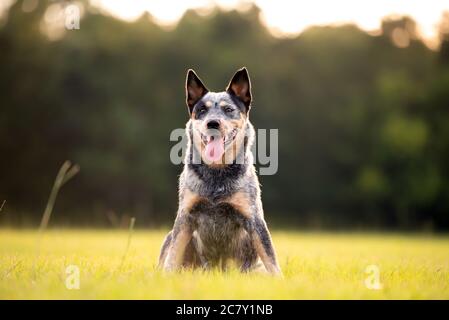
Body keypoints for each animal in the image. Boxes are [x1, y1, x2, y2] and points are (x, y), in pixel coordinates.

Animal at [158, 67, 280, 276]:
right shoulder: (185, 218)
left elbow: (271, 260)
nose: (213, 123)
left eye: (228, 109)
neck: (217, 175)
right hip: (173, 238)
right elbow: (173, 256)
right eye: (202, 110)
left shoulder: (254, 220)